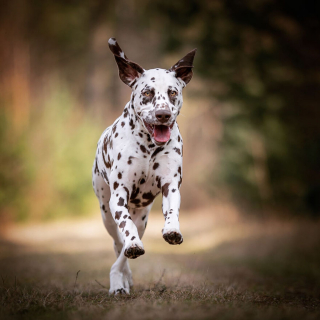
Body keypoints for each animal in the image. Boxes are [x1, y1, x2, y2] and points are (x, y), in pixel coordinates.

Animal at [92, 38, 195, 296]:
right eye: (147, 92)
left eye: (172, 92)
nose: (163, 114)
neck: (149, 146)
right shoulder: (119, 196)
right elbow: (126, 229)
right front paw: (131, 250)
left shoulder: (170, 185)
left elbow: (172, 211)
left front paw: (172, 230)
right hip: (106, 213)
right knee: (119, 243)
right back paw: (119, 280)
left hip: (143, 219)